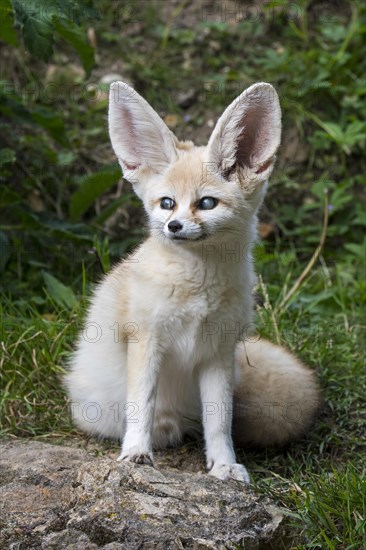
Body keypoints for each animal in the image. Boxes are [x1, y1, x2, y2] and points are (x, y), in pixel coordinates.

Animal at [66, 82, 320, 484]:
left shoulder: (217, 353)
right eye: (167, 203)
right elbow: (142, 405)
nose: (174, 227)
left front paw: (223, 465)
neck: (199, 292)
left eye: (207, 203)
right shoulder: (146, 340)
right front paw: (136, 453)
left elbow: (220, 421)